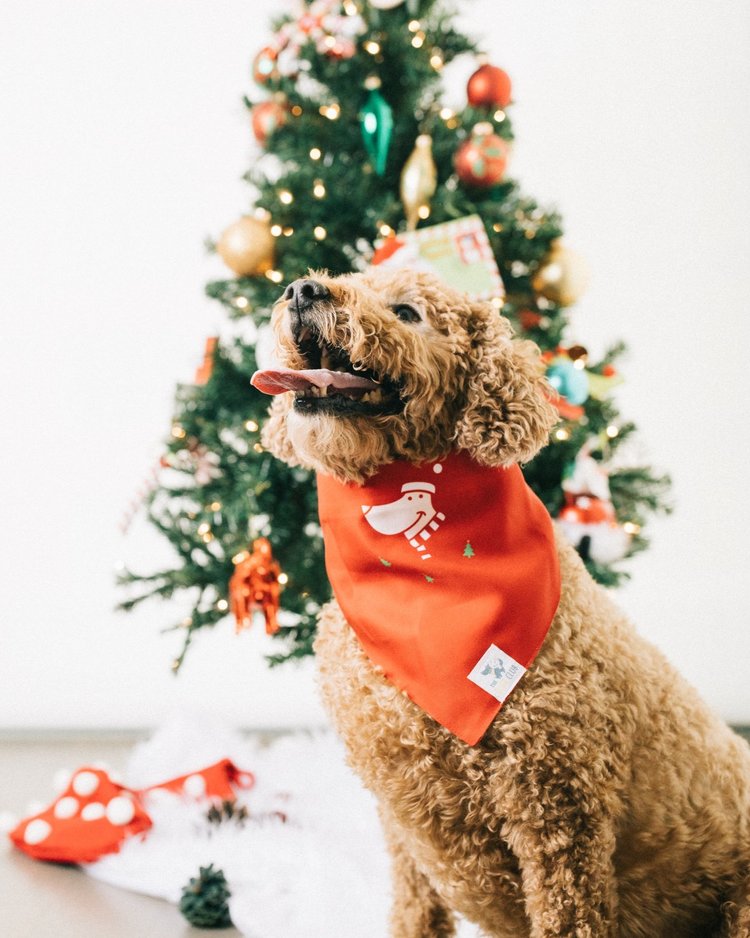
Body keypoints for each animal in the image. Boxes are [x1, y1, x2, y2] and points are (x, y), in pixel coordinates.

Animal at [254, 266, 750, 936]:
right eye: (346, 277)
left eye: (407, 311)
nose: (303, 290)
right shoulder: (400, 818)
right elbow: (414, 910)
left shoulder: (559, 815)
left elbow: (568, 915)